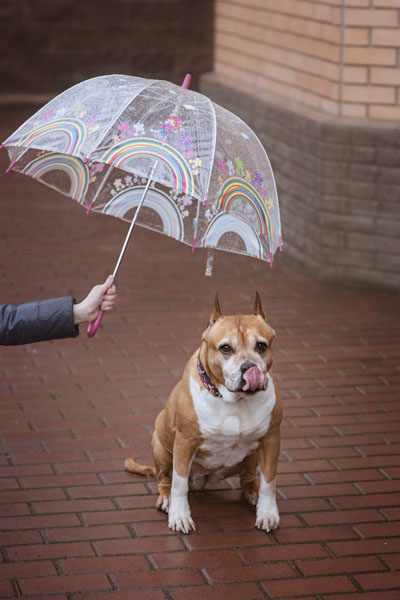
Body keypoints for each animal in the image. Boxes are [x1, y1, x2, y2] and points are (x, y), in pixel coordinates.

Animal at [125, 292, 282, 532]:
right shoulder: (185, 442)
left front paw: (267, 514)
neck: (233, 400)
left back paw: (252, 492)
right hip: (161, 447)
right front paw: (179, 516)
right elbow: (179, 484)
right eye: (225, 348)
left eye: (261, 346)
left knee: (248, 477)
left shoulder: (271, 440)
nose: (249, 368)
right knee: (165, 479)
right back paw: (166, 499)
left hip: (253, 454)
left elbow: (269, 481)